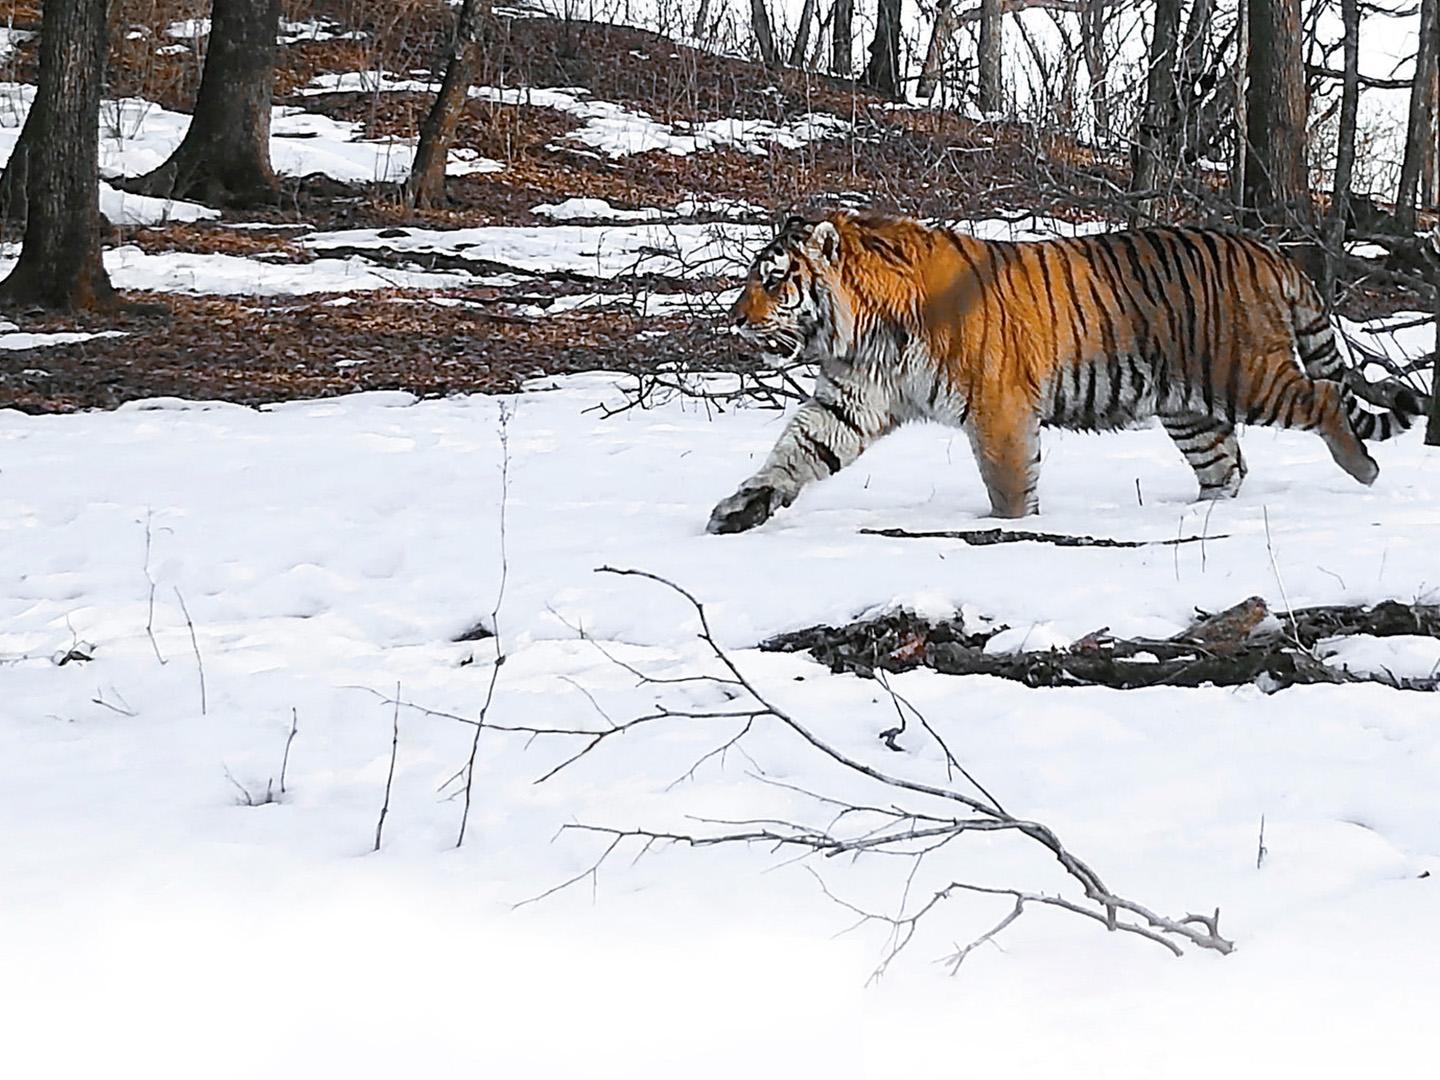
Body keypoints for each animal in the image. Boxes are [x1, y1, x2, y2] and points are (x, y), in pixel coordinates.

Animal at [702, 213, 1422, 535]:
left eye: (773, 281)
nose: (733, 318)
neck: (863, 329)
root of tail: (1269, 251)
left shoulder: (997, 410)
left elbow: (1009, 487)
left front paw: (1013, 532)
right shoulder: (853, 399)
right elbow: (795, 454)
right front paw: (740, 508)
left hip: (1246, 376)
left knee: (1324, 397)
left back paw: (1363, 470)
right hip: (1191, 409)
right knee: (1229, 467)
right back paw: (1197, 517)